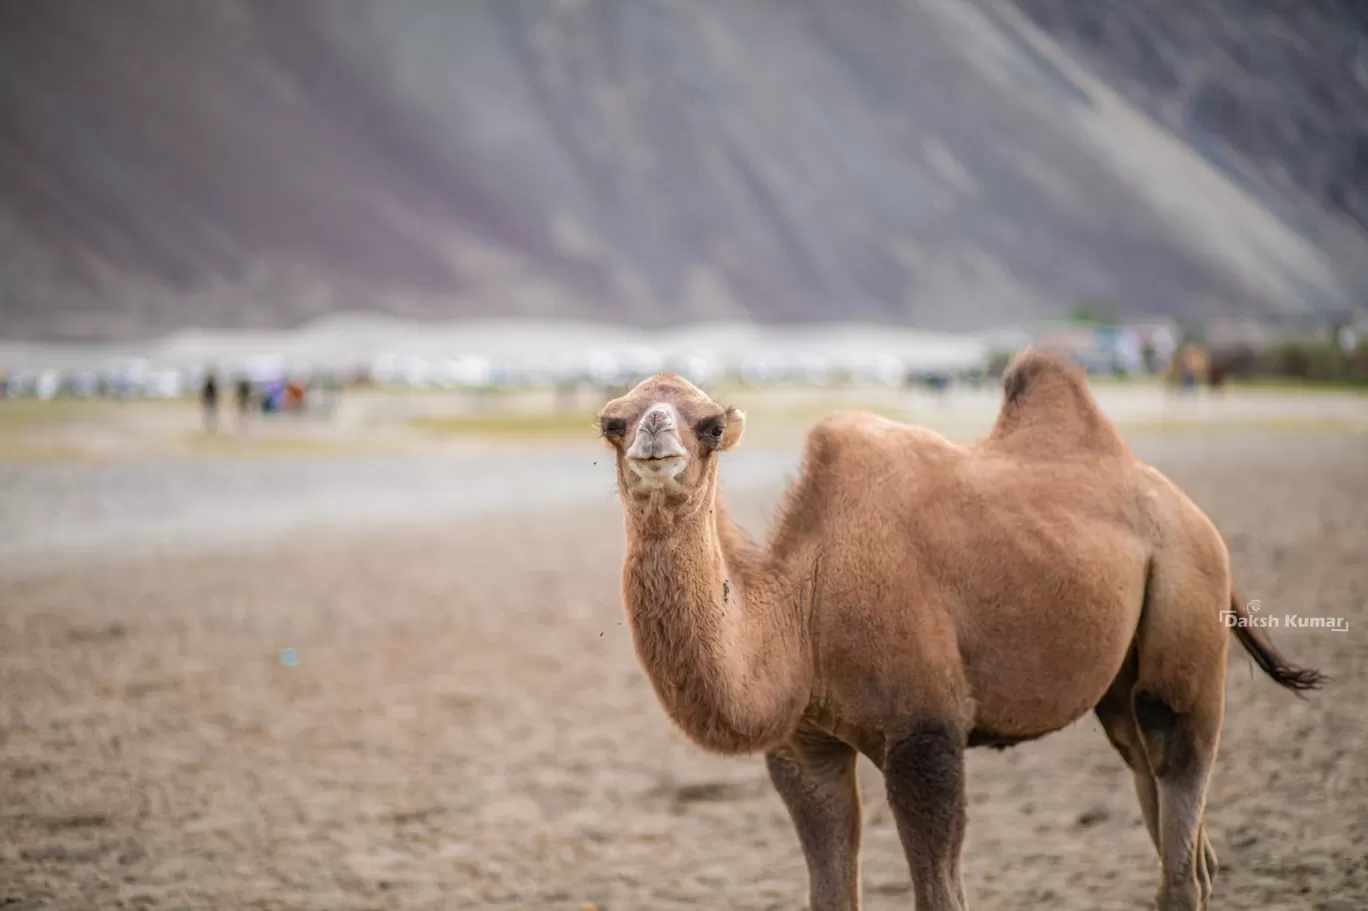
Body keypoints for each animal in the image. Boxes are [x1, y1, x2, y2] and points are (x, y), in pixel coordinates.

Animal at [599, 348, 1324, 908]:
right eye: (613, 422)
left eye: (710, 424)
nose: (654, 440)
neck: (804, 606)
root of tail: (1188, 509)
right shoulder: (805, 746)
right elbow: (829, 887)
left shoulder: (927, 731)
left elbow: (940, 889)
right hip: (1123, 678)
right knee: (1167, 805)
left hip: (1187, 601)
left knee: (1178, 763)